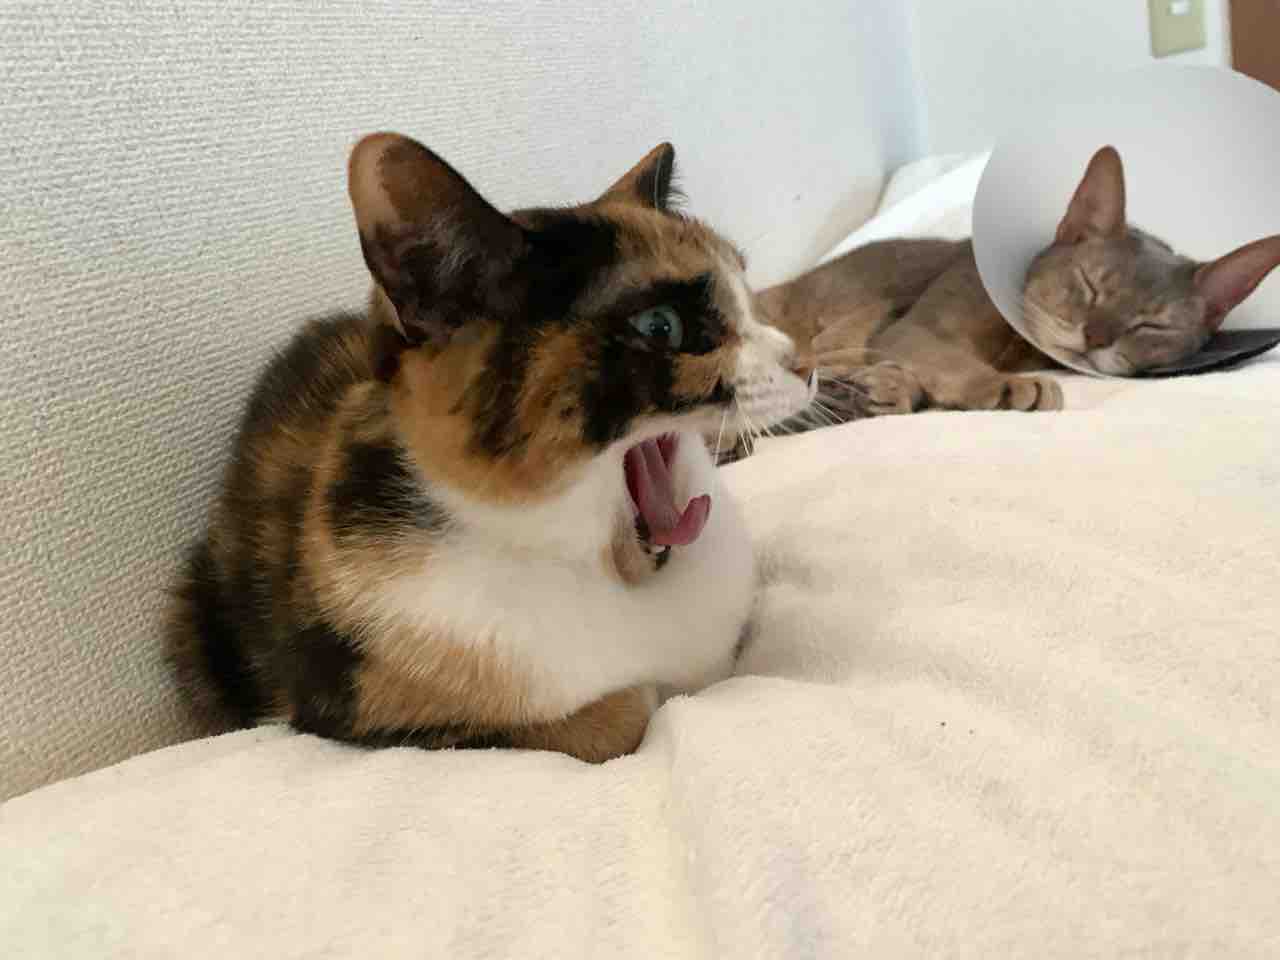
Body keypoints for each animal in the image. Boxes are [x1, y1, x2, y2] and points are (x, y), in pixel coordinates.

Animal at [756, 146, 1280, 427]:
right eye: (1090, 285)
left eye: (1152, 325)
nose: (1095, 338)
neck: (1018, 346)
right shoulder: (915, 330)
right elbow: (949, 360)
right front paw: (1002, 386)